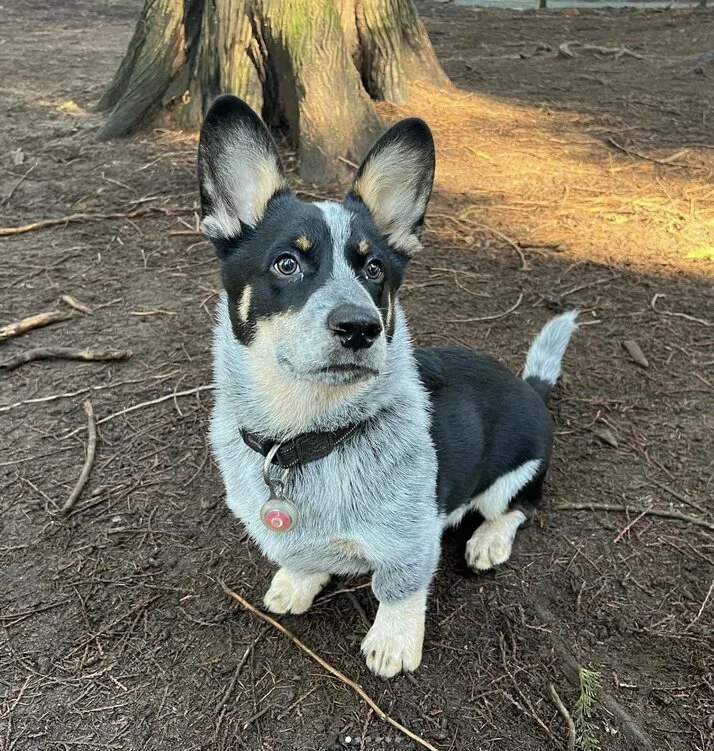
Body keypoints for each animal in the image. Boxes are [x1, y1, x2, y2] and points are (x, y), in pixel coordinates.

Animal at [197, 95, 576, 680]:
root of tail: (530, 387)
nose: (360, 327)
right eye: (287, 263)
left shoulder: (408, 542)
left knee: (517, 508)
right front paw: (295, 584)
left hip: (510, 479)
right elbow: (300, 557)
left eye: (374, 268)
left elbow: (398, 590)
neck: (306, 438)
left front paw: (394, 642)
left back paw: (487, 540)